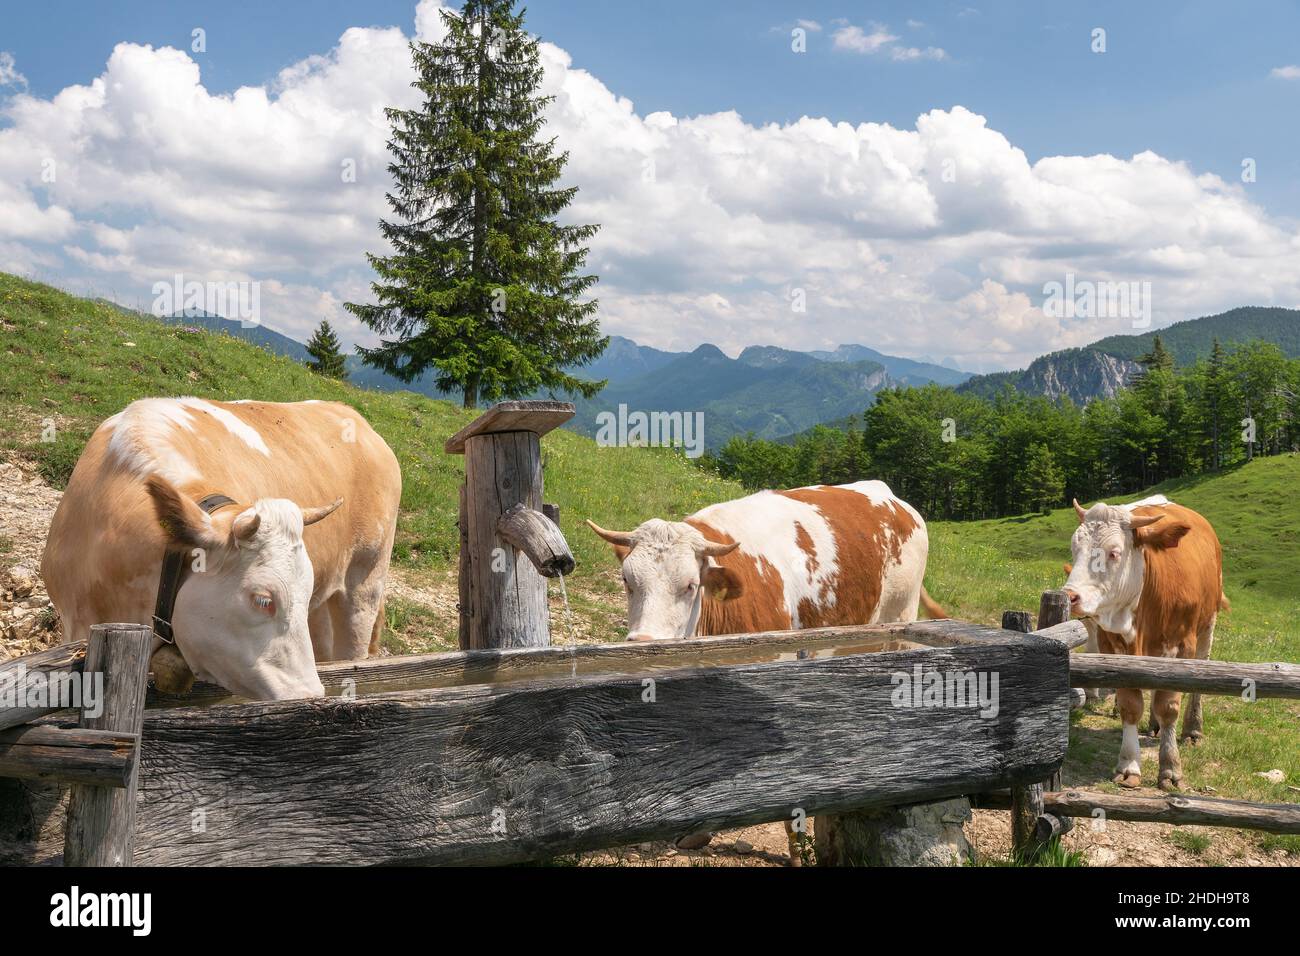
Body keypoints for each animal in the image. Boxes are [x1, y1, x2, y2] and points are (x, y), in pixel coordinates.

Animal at [44, 395, 400, 702]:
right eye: (263, 600)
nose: (307, 695)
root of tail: (354, 417)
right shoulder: (72, 624)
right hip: (323, 608)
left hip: (364, 585)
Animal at [590, 481, 946, 863]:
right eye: (627, 581)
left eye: (689, 585)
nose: (643, 644)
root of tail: (887, 494)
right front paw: (699, 831)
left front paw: (798, 850)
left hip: (900, 618)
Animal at [1060, 494, 1222, 790]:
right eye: (1075, 548)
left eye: (1114, 552)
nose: (1070, 596)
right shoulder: (1113, 648)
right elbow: (1130, 705)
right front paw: (1128, 765)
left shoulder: (1182, 647)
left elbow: (1169, 706)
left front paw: (1170, 768)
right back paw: (1154, 725)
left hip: (1208, 624)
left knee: (1198, 679)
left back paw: (1193, 729)